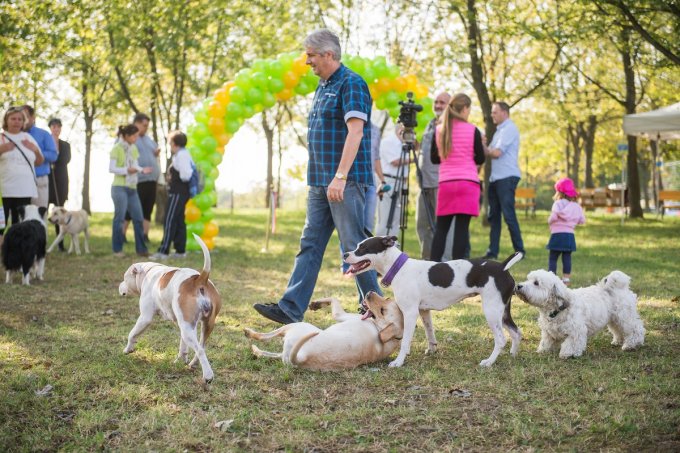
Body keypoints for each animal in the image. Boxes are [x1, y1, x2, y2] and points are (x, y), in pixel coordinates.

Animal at [118, 233, 222, 382]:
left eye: (124, 278)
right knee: (201, 346)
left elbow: (132, 334)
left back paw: (208, 376)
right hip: (203, 325)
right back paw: (192, 364)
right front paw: (181, 359)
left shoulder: (145, 318)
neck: (148, 272)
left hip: (188, 329)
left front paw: (128, 349)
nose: (119, 285)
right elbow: (183, 346)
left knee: (200, 350)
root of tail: (200, 280)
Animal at [244, 294, 404, 370]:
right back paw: (256, 350)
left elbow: (334, 298)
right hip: (288, 352)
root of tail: (303, 358)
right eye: (387, 298)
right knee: (272, 354)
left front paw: (317, 304)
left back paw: (249, 333)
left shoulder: (340, 315)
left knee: (264, 337)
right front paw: (316, 304)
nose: (369, 293)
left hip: (296, 326)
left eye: (383, 311)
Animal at [342, 237, 524, 368]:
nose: (345, 254)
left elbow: (406, 340)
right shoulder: (424, 311)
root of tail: (502, 267)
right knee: (516, 333)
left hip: (491, 311)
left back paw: (489, 362)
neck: (399, 268)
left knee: (501, 339)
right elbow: (430, 332)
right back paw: (513, 356)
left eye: (363, 248)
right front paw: (431, 350)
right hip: (502, 312)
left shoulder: (410, 313)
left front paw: (399, 361)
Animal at [516, 270, 644, 358]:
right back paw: (618, 341)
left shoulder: (576, 331)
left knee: (636, 329)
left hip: (625, 317)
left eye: (536, 283)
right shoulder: (549, 332)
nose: (518, 286)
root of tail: (618, 287)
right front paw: (543, 350)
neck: (556, 309)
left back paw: (630, 345)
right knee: (618, 330)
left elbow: (570, 344)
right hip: (614, 319)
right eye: (528, 279)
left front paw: (567, 354)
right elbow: (546, 342)